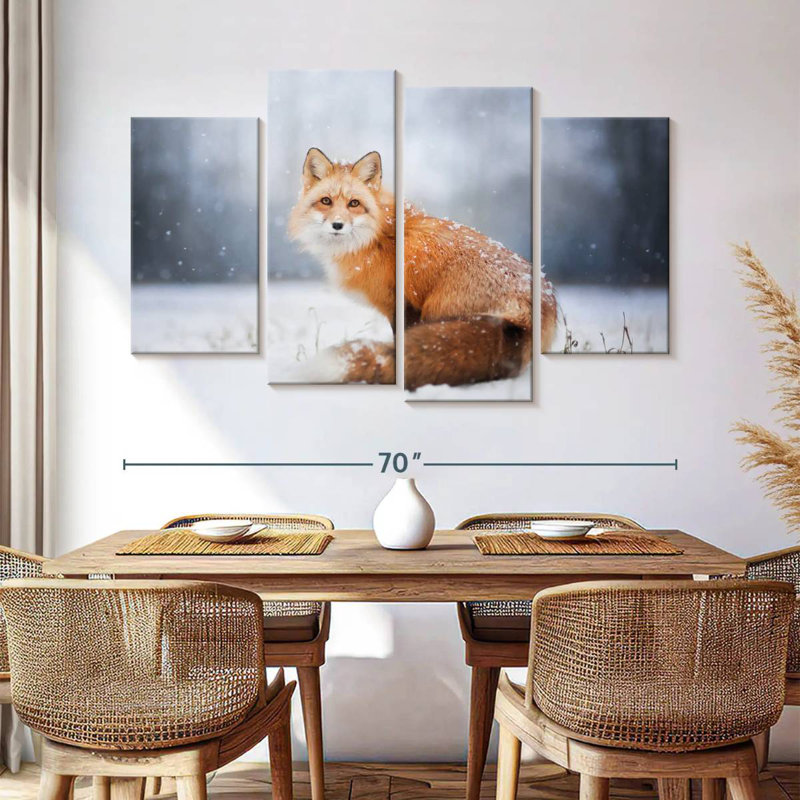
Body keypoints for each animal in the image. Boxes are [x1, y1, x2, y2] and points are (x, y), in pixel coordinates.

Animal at [288, 147, 557, 389]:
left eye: (354, 203)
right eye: (326, 201)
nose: (337, 225)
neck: (378, 237)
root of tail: (529, 315)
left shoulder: (404, 305)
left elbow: (399, 341)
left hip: (436, 310)